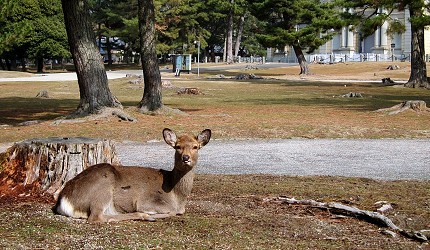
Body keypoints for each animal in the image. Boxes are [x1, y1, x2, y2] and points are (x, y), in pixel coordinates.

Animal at [52, 129, 212, 223]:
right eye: (177, 146)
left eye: (196, 147)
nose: (186, 158)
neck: (177, 196)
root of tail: (64, 200)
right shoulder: (146, 201)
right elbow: (172, 212)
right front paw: (150, 214)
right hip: (103, 186)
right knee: (96, 217)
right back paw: (144, 216)